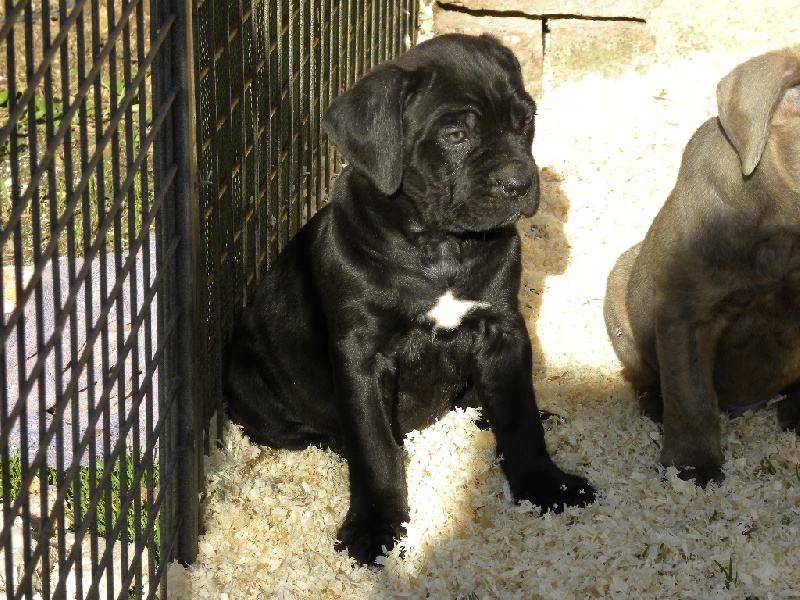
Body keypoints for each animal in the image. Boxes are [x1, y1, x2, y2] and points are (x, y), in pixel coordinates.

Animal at [225, 33, 595, 565]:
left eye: (525, 121)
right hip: (249, 378)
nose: (520, 182)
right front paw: (374, 527)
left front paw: (545, 485)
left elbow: (519, 414)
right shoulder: (362, 355)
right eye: (455, 135)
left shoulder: (503, 332)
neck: (439, 247)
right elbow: (374, 446)